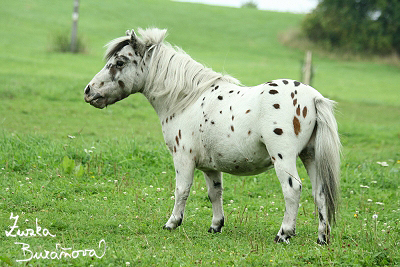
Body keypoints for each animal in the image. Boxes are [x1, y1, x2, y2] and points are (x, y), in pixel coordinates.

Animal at [84, 28, 340, 245]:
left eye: (119, 62)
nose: (88, 91)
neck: (186, 100)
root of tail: (313, 97)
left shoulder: (183, 158)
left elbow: (181, 190)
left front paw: (172, 223)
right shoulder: (210, 166)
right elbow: (215, 193)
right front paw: (216, 225)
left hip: (284, 158)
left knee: (292, 190)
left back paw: (284, 234)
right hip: (310, 156)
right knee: (319, 193)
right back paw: (322, 238)